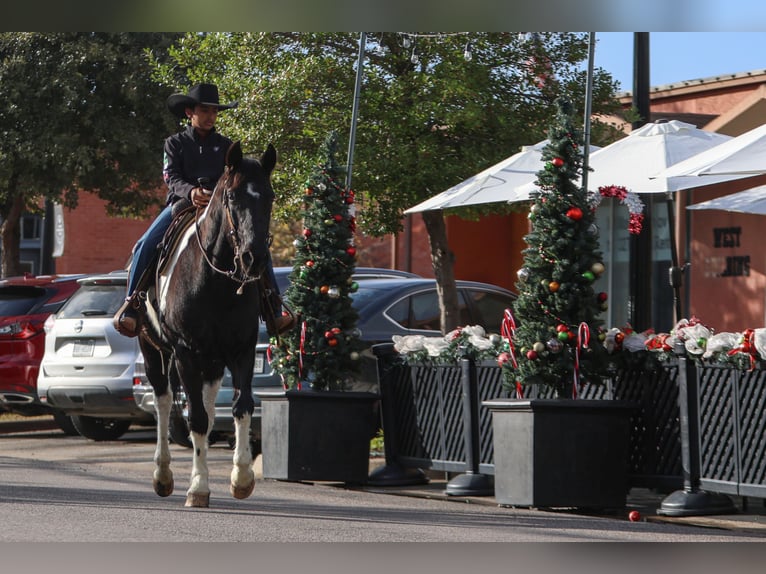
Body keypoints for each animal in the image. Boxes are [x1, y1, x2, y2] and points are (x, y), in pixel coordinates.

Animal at [140, 143, 276, 508]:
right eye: (231, 196)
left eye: (270, 196)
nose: (254, 258)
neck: (216, 282)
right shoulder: (185, 353)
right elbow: (196, 418)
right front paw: (198, 487)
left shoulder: (242, 350)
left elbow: (241, 408)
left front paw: (242, 478)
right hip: (153, 350)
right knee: (164, 402)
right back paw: (163, 474)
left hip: (213, 362)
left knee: (211, 407)